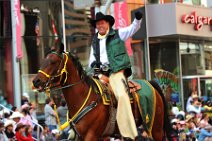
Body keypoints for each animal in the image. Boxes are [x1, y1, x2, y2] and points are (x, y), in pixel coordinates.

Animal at [32, 47, 171, 140]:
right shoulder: (84, 136)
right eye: (44, 60)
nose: (35, 81)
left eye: (53, 62)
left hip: (155, 128)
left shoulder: (92, 135)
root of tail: (150, 84)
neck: (85, 98)